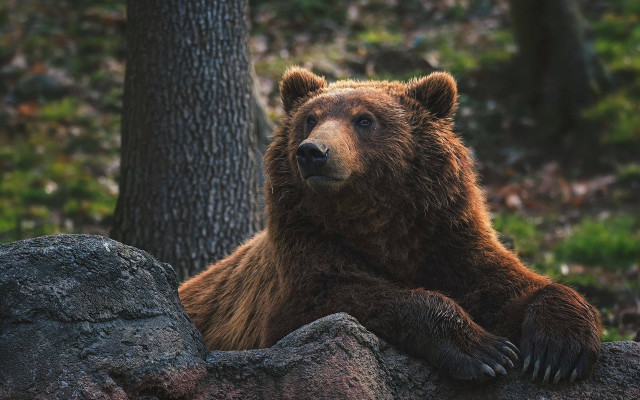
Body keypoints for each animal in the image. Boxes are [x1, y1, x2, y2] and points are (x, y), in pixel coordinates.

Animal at [178, 67, 601, 383]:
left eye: (365, 119)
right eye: (309, 119)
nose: (313, 152)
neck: (376, 221)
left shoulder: (446, 237)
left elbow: (511, 284)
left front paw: (558, 351)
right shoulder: (304, 250)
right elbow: (333, 298)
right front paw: (486, 350)